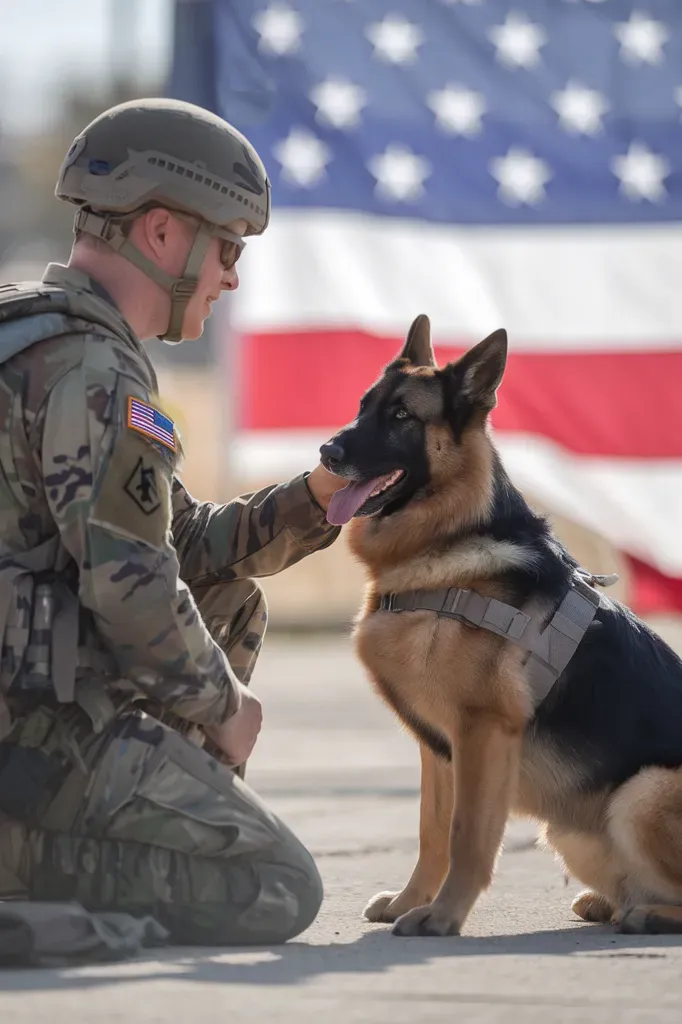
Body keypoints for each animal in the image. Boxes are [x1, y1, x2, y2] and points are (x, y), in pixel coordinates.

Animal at [319, 315, 682, 937]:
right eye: (364, 406)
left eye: (401, 416)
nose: (326, 451)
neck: (449, 539)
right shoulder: (440, 748)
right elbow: (431, 833)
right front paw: (412, 900)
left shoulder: (483, 732)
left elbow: (466, 836)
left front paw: (442, 915)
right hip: (571, 828)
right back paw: (612, 903)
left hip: (643, 790)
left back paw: (646, 915)